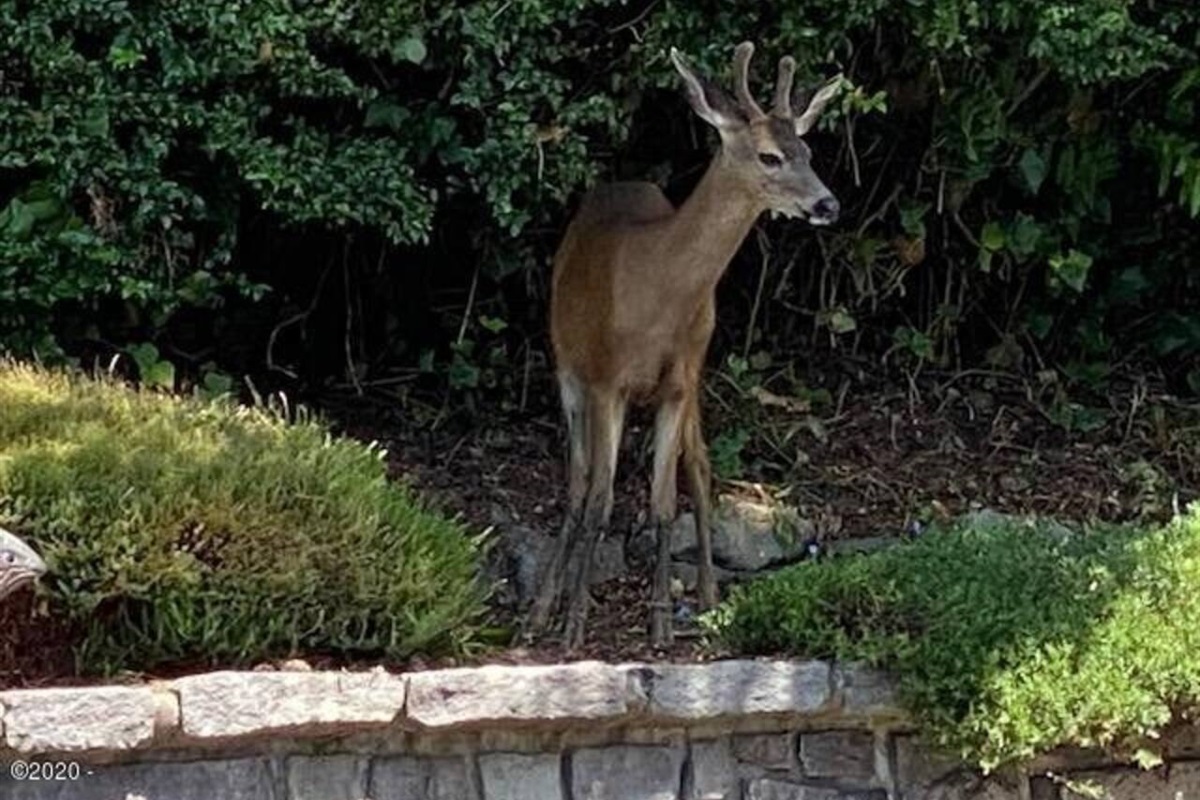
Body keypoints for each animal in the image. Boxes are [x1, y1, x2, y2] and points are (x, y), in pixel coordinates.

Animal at [524, 40, 843, 650]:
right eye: (770, 156)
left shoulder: (677, 382)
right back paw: (544, 609)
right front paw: (574, 625)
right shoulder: (606, 381)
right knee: (577, 483)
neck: (658, 294)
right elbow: (598, 500)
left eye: (809, 150)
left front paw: (659, 624)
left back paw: (710, 597)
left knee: (697, 466)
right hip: (568, 368)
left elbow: (664, 504)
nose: (827, 204)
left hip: (697, 373)